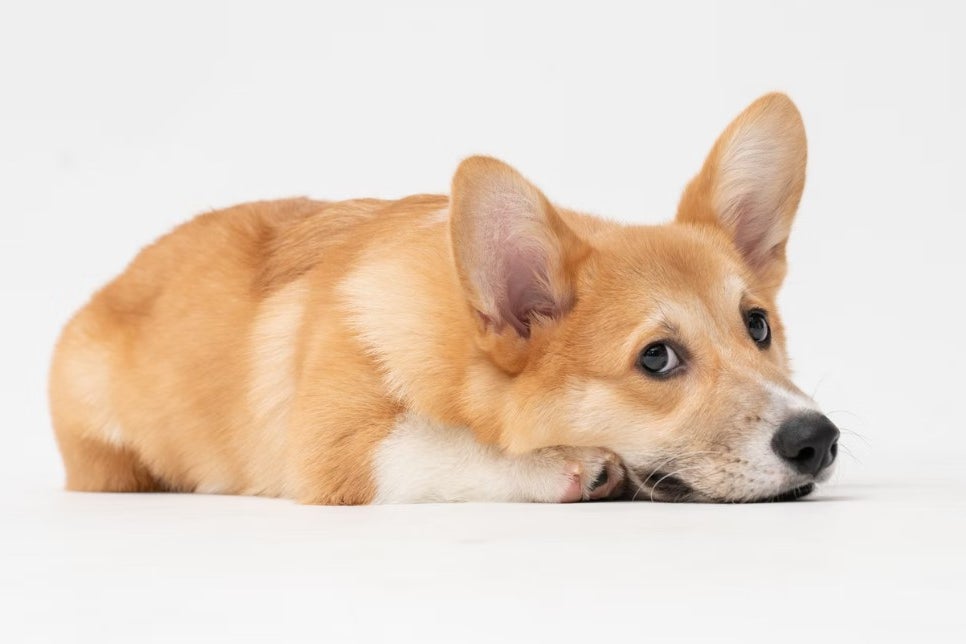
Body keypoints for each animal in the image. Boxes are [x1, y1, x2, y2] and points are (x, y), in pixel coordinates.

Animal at [49, 92, 840, 504]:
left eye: (758, 326)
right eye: (657, 358)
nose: (818, 440)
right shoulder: (337, 452)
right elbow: (443, 443)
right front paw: (567, 464)